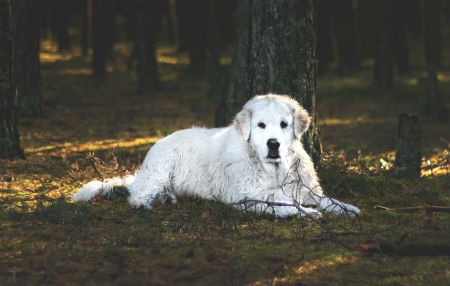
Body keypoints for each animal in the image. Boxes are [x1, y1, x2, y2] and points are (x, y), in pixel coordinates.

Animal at [75, 94, 360, 217]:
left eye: (283, 124)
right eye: (261, 125)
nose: (273, 144)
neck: (272, 168)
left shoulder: (303, 188)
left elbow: (324, 199)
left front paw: (346, 207)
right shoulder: (248, 197)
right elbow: (286, 203)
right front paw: (308, 213)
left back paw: (167, 198)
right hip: (159, 170)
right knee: (137, 194)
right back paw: (148, 202)